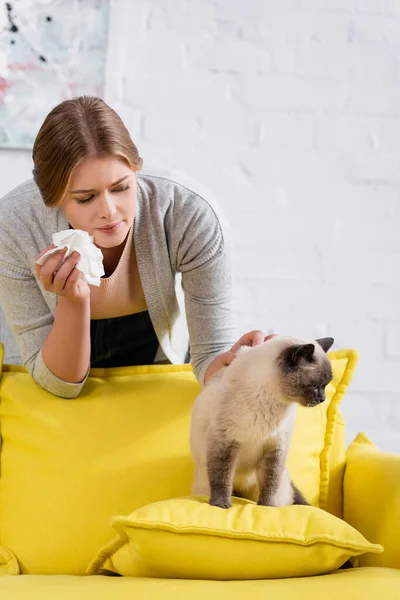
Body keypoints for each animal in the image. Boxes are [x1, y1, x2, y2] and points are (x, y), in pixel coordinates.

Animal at [189, 336, 332, 508]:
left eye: (325, 386)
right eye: (315, 386)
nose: (322, 399)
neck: (272, 399)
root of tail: (240, 488)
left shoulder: (274, 448)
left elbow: (270, 483)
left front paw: (267, 507)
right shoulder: (224, 441)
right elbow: (221, 479)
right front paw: (220, 505)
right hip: (204, 482)